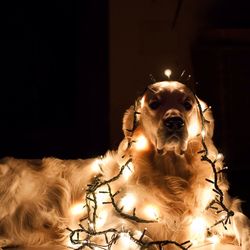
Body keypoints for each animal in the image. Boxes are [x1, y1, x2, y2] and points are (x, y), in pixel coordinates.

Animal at [0, 81, 249, 249]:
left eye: (188, 104)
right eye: (154, 104)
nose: (174, 122)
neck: (171, 175)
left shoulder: (219, 208)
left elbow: (241, 219)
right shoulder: (104, 220)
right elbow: (133, 235)